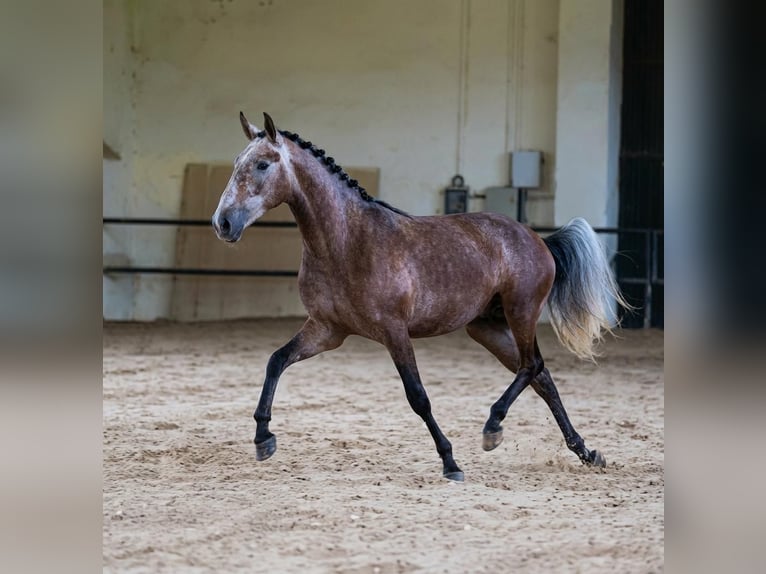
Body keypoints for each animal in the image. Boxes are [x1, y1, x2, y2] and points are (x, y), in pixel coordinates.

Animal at [212, 112, 630, 482]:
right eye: (236, 163)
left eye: (263, 164)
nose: (223, 223)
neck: (346, 243)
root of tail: (538, 239)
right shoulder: (327, 330)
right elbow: (276, 361)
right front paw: (263, 439)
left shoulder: (393, 330)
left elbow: (418, 396)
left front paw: (451, 463)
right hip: (488, 328)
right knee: (542, 377)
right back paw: (586, 452)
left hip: (521, 311)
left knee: (533, 365)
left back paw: (493, 428)